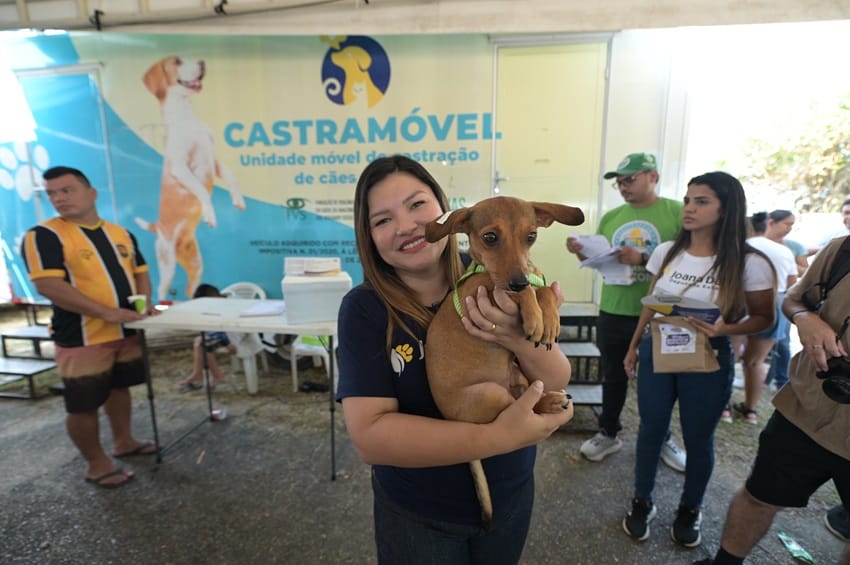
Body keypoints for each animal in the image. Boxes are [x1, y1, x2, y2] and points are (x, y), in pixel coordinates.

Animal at [424, 196, 584, 528]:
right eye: (490, 237)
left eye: (531, 236)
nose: (518, 281)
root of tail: (453, 420)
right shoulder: (488, 289)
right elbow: (521, 291)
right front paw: (535, 315)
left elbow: (544, 288)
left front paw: (549, 319)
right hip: (490, 394)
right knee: (519, 405)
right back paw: (549, 402)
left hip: (516, 374)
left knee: (523, 393)